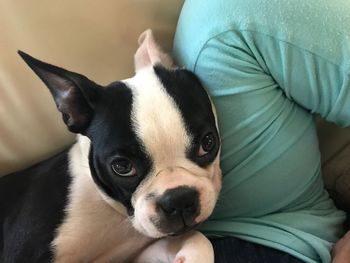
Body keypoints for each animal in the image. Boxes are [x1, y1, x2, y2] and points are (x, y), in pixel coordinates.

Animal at [0, 29, 221, 262]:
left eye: (208, 143)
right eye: (122, 167)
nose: (178, 199)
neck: (111, 209)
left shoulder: (138, 252)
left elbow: (198, 239)